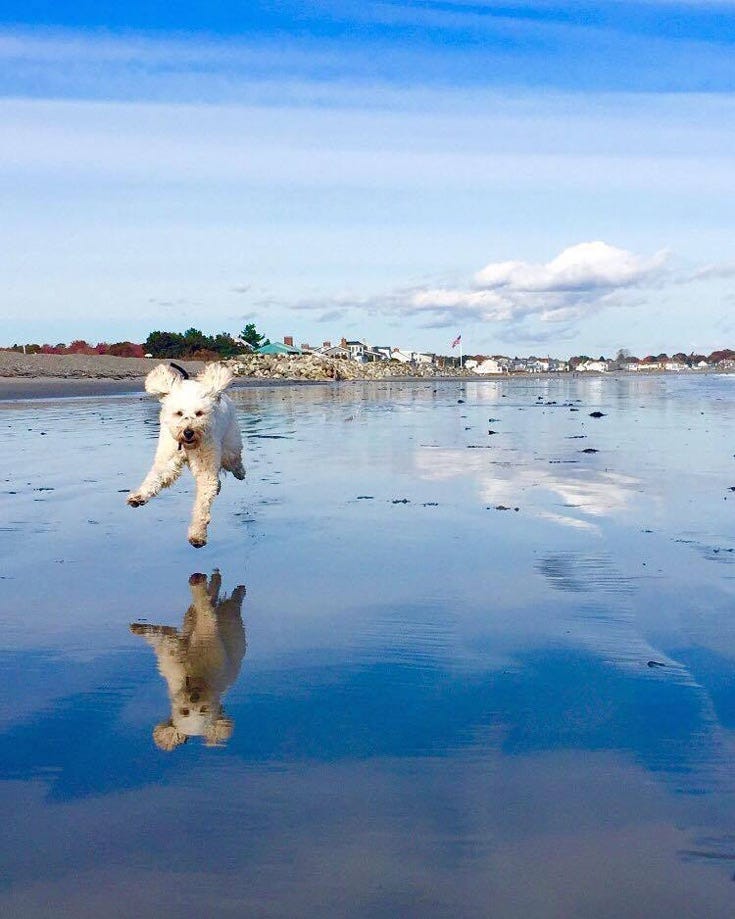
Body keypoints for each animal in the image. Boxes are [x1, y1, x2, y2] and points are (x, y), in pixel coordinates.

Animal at [128, 360, 246, 548]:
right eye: (179, 413)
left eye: (199, 413)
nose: (188, 432)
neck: (187, 446)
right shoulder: (167, 460)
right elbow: (155, 478)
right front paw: (139, 496)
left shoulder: (206, 468)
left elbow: (202, 502)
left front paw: (197, 533)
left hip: (230, 444)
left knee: (234, 460)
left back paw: (240, 472)